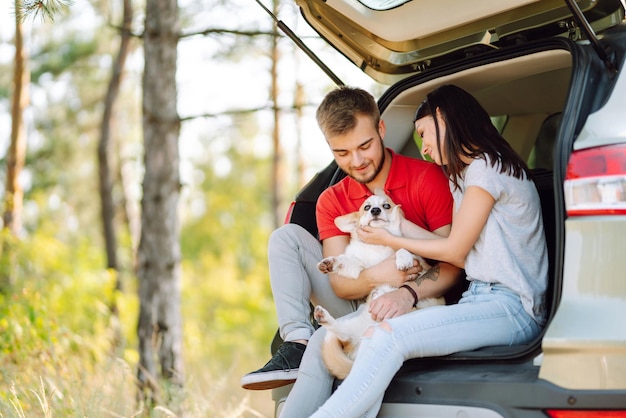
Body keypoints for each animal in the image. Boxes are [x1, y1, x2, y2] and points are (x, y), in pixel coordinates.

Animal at [312, 191, 444, 380]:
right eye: (367, 207)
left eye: (386, 205)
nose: (375, 210)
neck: (376, 246)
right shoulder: (357, 268)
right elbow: (345, 262)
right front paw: (330, 263)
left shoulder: (420, 265)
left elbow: (403, 248)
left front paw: (402, 259)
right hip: (353, 327)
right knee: (343, 334)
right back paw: (324, 316)